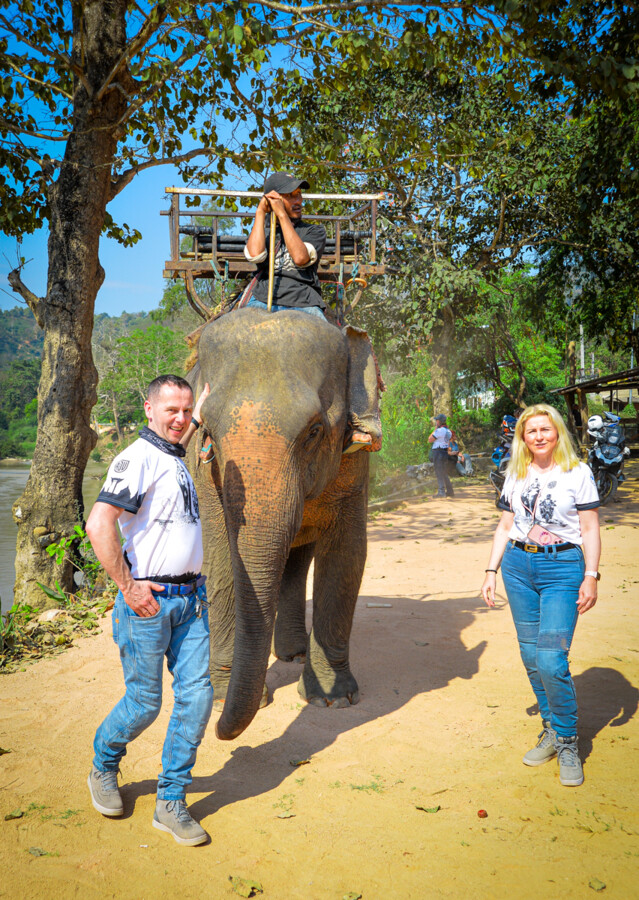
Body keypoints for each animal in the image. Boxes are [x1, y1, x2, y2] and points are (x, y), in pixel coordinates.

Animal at [186, 307, 380, 742]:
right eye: (208, 433)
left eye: (314, 431)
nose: (217, 730)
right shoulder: (203, 469)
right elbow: (219, 561)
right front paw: (221, 696)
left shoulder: (355, 459)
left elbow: (348, 554)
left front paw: (333, 698)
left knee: (298, 558)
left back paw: (293, 654)